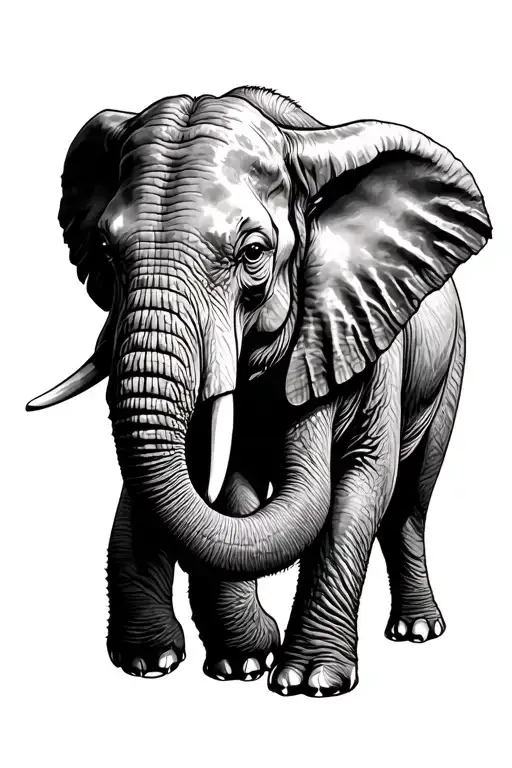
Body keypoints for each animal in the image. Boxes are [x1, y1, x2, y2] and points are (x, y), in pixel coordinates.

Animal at [27, 86, 491, 698]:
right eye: (104, 248)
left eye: (252, 254)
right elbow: (230, 485)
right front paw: (228, 664)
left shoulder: (362, 332)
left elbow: (361, 480)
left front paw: (308, 683)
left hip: (450, 363)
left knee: (410, 500)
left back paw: (416, 631)